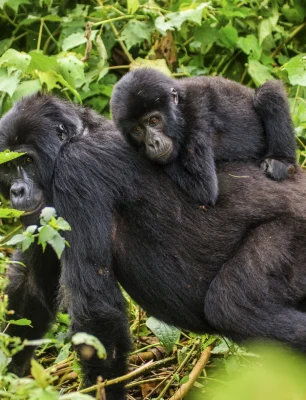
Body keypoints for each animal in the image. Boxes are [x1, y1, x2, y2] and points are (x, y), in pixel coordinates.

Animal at [0, 94, 306, 400]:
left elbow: (95, 309)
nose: (16, 191)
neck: (76, 135)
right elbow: (29, 289)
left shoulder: (77, 169)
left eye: (26, 160)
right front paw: (9, 377)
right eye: (7, 167)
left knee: (232, 307)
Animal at [111, 68, 296, 205]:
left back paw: (281, 161)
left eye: (154, 120)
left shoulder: (196, 119)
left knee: (268, 93)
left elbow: (203, 188)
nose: (153, 143)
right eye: (137, 130)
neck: (180, 110)